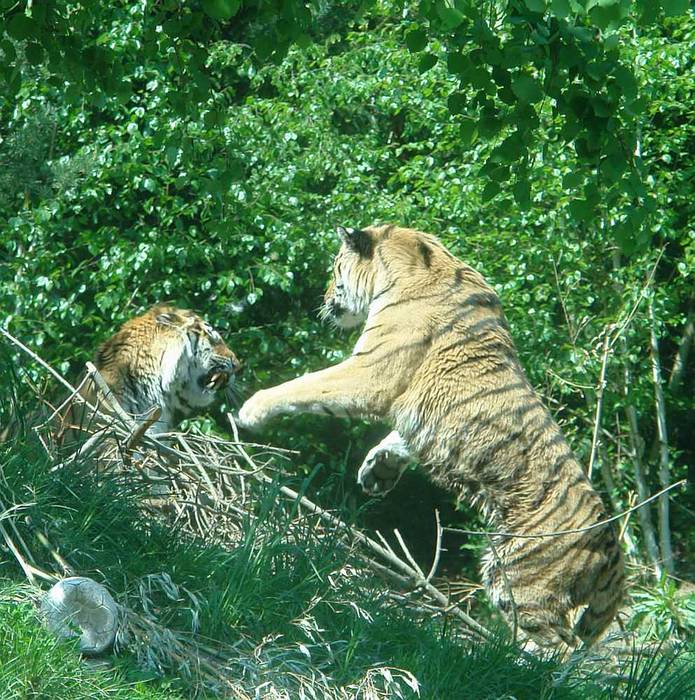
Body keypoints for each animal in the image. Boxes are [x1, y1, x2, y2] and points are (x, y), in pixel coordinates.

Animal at [239, 223, 624, 652]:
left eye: (335, 268)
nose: (322, 299)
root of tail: (612, 551)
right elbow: (398, 439)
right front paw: (377, 470)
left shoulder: (372, 371)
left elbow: (307, 385)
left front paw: (251, 408)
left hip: (520, 580)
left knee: (560, 650)